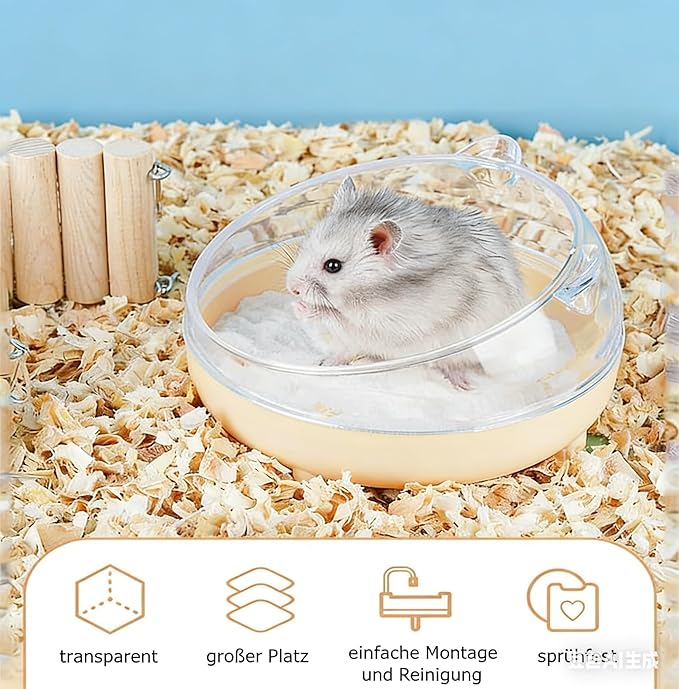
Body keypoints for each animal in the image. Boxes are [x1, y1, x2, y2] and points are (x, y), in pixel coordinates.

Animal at [285, 176, 528, 388]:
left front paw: (305, 306)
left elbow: (342, 320)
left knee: (452, 364)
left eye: (333, 266)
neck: (370, 292)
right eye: (303, 246)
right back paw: (325, 364)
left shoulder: (392, 324)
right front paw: (296, 306)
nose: (292, 289)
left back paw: (463, 385)